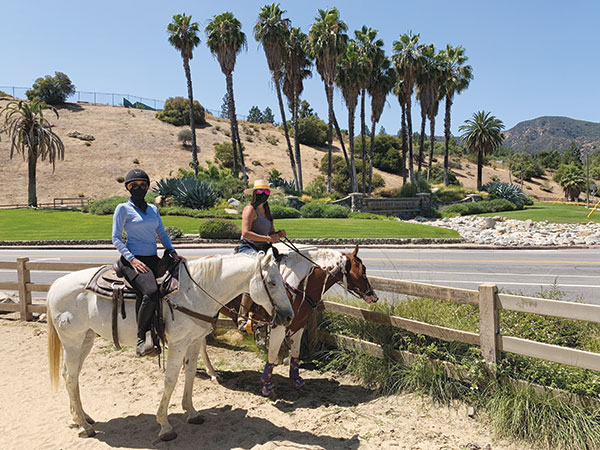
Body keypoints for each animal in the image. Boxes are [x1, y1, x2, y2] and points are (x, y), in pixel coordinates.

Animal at [47, 250, 292, 442]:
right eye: (272, 283)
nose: (289, 316)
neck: (195, 292)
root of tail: (55, 285)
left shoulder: (194, 341)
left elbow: (190, 373)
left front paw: (192, 412)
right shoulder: (178, 343)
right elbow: (171, 380)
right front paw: (164, 425)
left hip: (86, 339)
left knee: (71, 375)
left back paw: (83, 417)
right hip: (72, 341)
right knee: (70, 376)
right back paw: (84, 425)